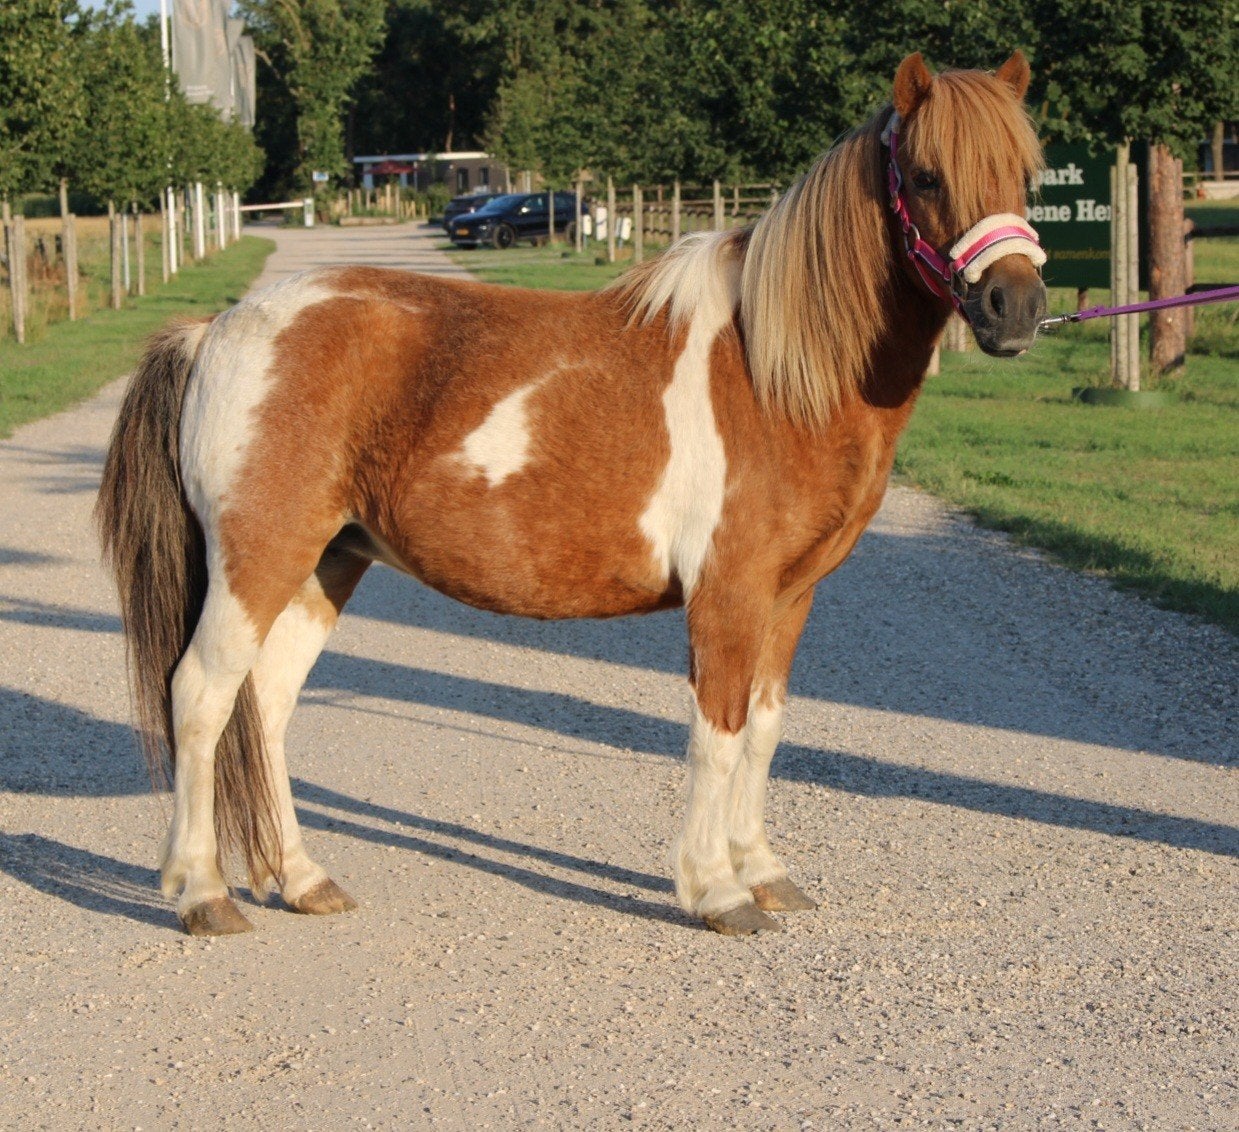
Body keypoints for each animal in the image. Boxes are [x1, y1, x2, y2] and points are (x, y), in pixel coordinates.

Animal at [97, 51, 1046, 938]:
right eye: (924, 176)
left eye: (1028, 174)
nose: (1016, 306)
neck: (776, 370)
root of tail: (218, 330)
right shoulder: (727, 596)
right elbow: (716, 735)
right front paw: (718, 891)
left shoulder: (790, 597)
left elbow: (765, 731)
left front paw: (765, 871)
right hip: (259, 561)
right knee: (202, 697)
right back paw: (204, 894)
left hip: (324, 565)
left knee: (264, 709)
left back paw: (303, 879)